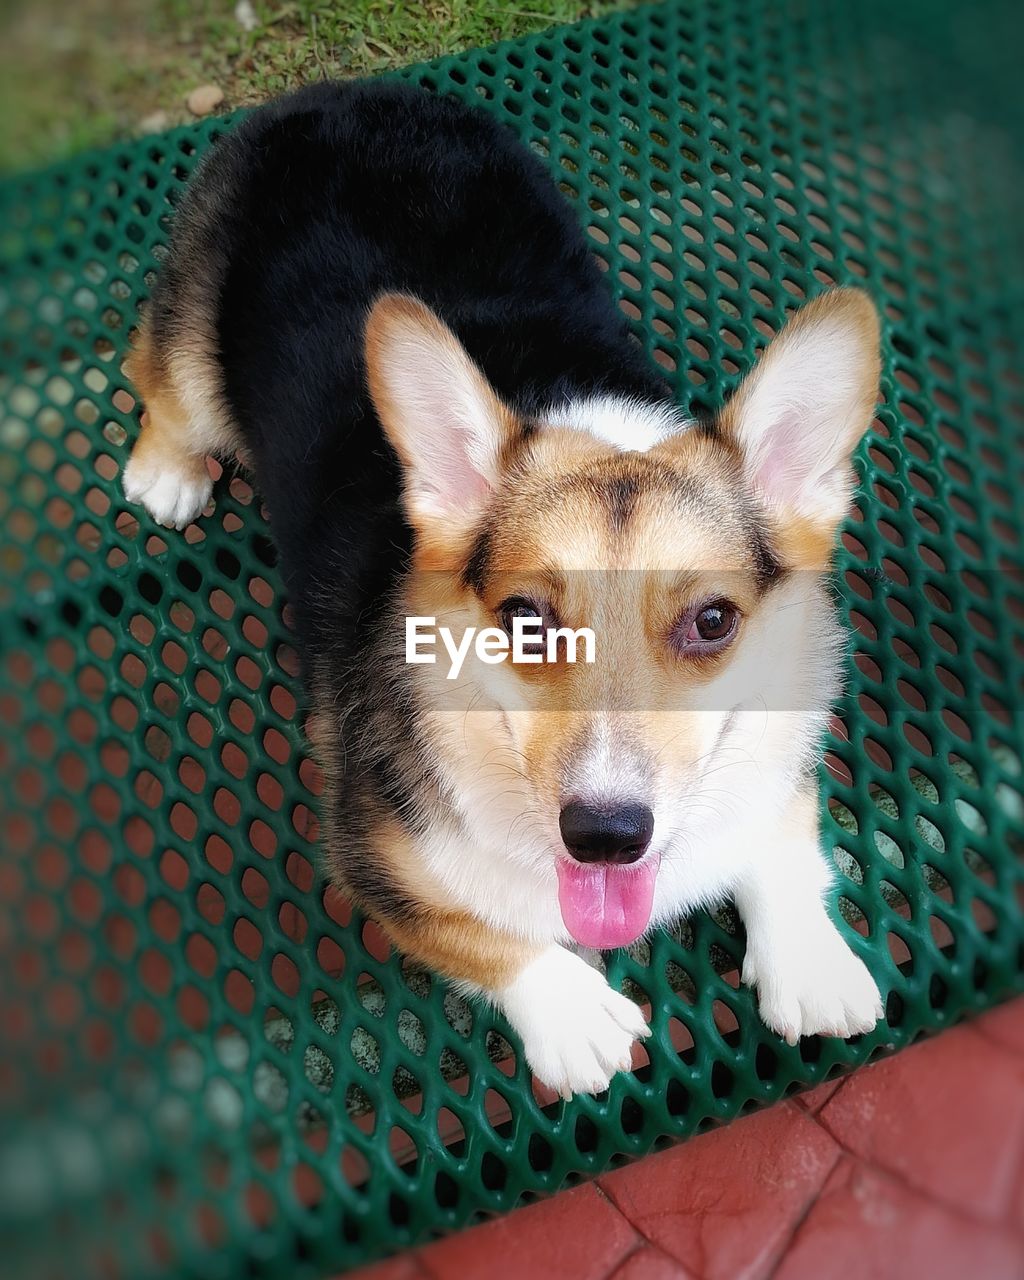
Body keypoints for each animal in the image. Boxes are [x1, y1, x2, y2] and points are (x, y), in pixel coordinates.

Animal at [124, 82, 885, 1100]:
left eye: (714, 620)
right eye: (525, 619)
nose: (606, 837)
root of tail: (332, 93)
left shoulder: (779, 757)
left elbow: (784, 835)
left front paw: (811, 961)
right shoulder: (372, 860)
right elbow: (481, 933)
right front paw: (574, 1019)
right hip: (195, 341)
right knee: (157, 374)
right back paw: (164, 470)